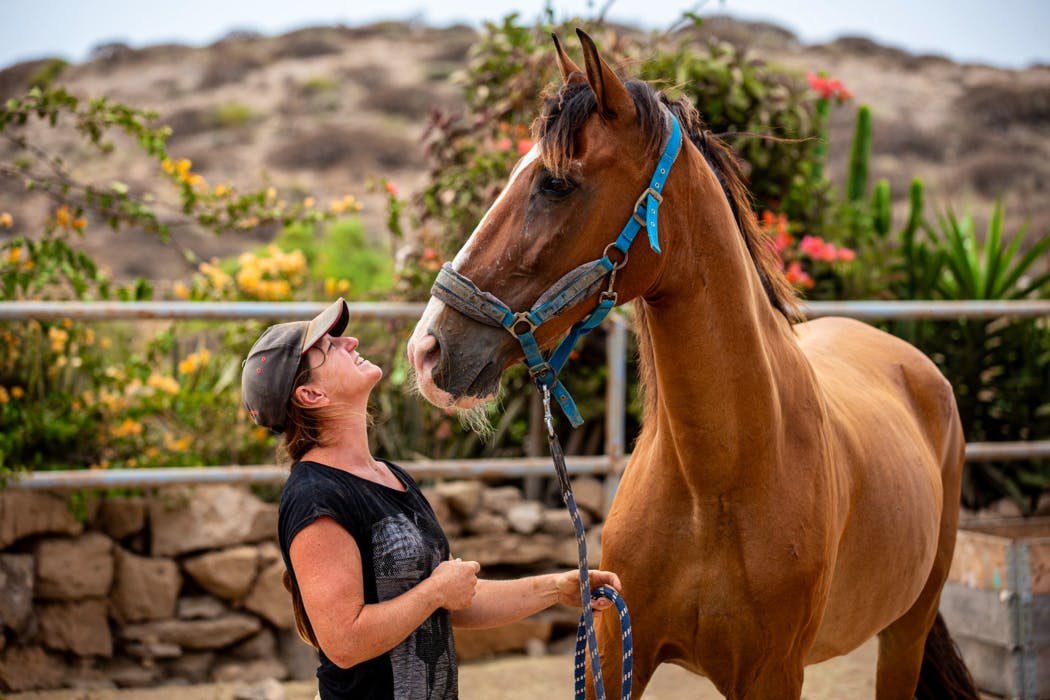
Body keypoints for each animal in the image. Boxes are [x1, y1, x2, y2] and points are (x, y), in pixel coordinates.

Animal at [407, 29, 979, 699]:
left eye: (555, 183)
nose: (427, 350)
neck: (715, 483)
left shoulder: (772, 673)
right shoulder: (613, 647)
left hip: (907, 629)